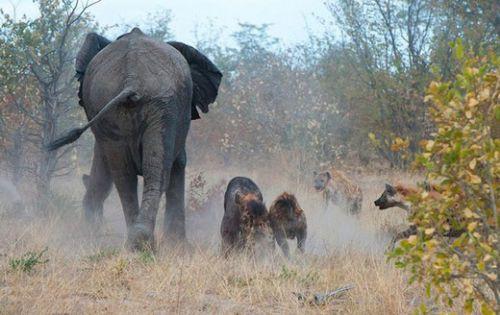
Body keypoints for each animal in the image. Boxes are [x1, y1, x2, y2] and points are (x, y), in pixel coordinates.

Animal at [47, 27, 223, 251]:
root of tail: (132, 79)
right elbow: (179, 163)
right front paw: (179, 247)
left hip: (114, 103)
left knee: (125, 176)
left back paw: (136, 242)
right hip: (163, 107)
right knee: (155, 173)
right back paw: (143, 242)